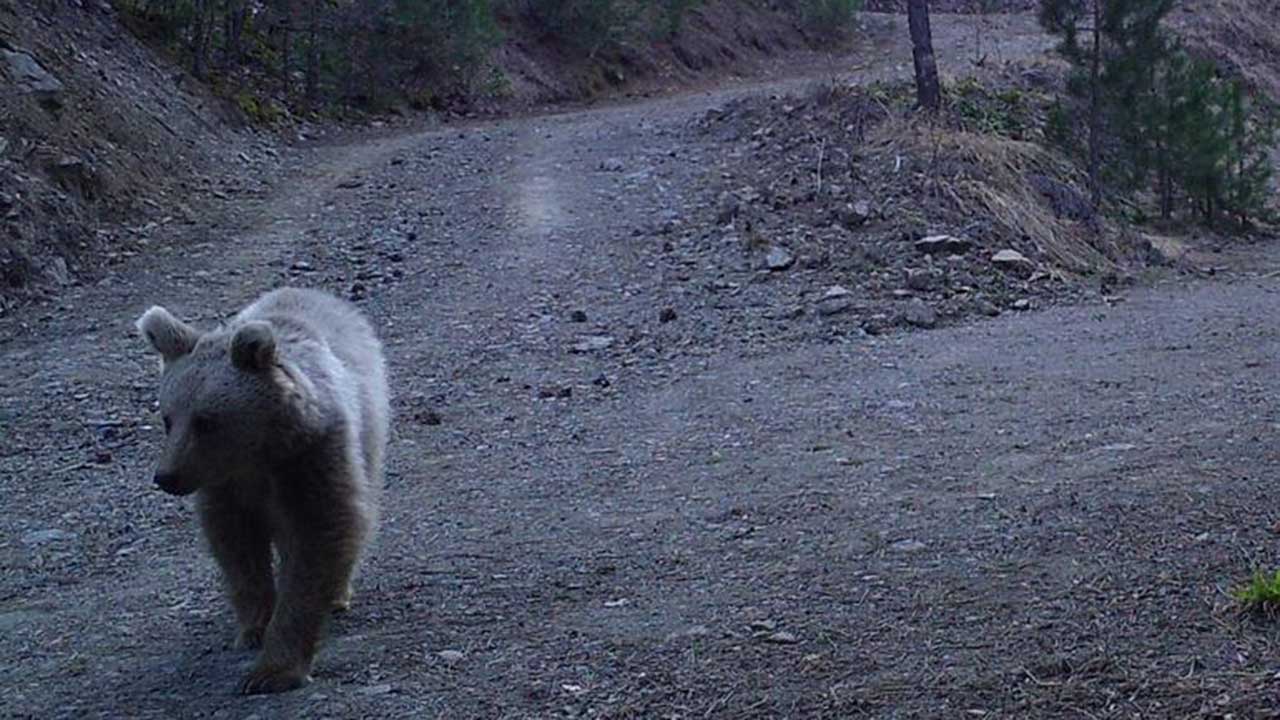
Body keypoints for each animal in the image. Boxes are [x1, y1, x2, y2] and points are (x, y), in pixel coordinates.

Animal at [133, 288, 389, 691]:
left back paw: (337, 593)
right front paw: (254, 626)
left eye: (206, 420)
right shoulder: (225, 487)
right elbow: (237, 548)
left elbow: (317, 538)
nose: (166, 477)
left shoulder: (310, 459)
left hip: (370, 431)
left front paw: (273, 669)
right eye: (167, 418)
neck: (259, 452)